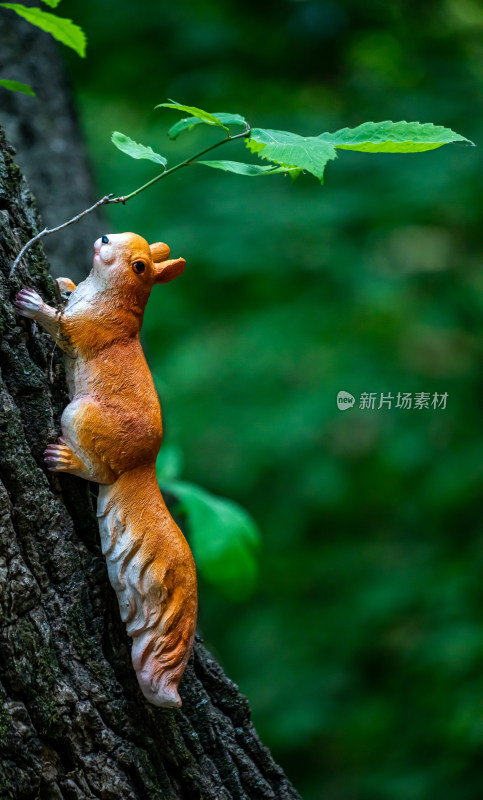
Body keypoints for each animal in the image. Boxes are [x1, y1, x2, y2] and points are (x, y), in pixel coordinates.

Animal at [15, 231, 197, 708]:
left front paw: (33, 303)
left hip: (80, 416)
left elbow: (62, 327)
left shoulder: (90, 330)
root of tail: (141, 465)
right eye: (123, 238)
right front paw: (63, 284)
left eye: (139, 266)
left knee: (96, 474)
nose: (102, 239)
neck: (104, 293)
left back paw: (65, 460)